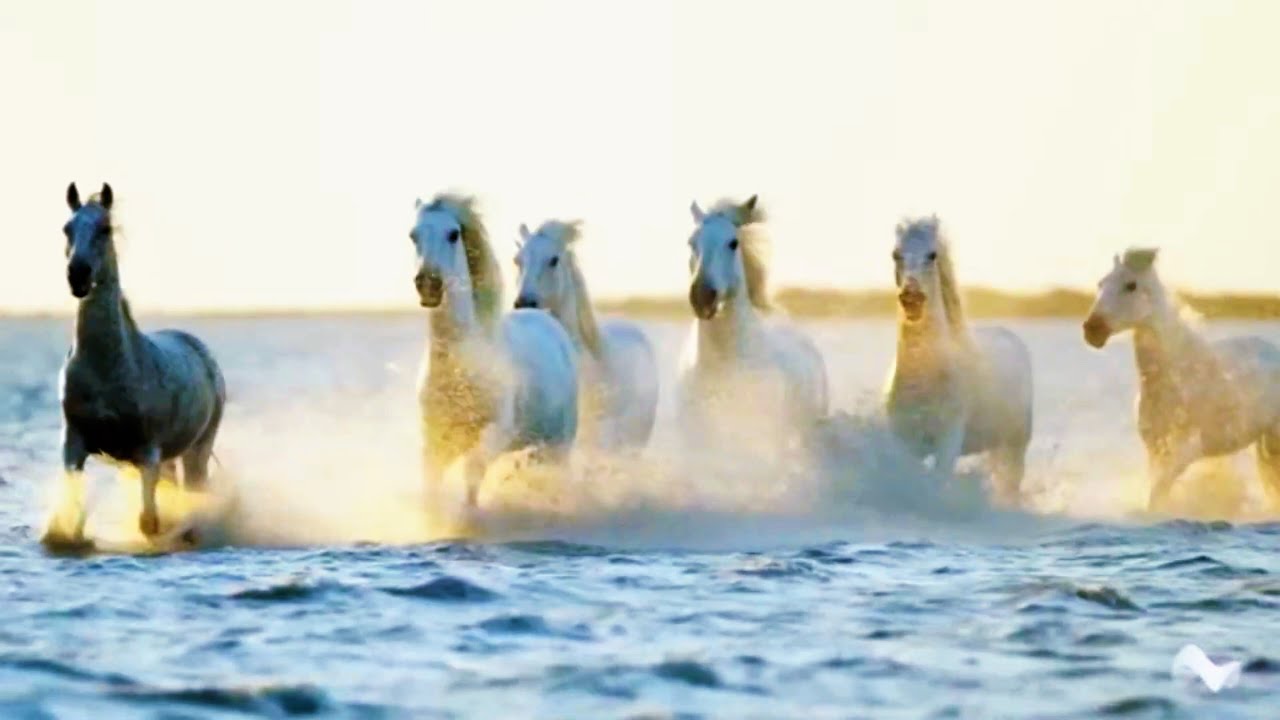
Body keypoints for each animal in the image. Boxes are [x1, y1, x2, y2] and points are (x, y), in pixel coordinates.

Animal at [48, 182, 226, 543]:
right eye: (66, 228)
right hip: (171, 458)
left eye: (105, 229)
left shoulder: (147, 453)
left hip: (198, 448)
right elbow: (72, 521)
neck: (106, 367)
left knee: (195, 491)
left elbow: (148, 523)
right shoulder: (73, 446)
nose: (78, 276)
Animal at [410, 193, 579, 510]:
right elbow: (430, 490)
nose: (428, 284)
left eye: (453, 234)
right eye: (413, 235)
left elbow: (472, 477)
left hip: (559, 444)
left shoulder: (495, 432)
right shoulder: (435, 440)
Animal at [884, 215, 1032, 506]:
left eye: (932, 255)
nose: (911, 299)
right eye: (896, 254)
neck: (922, 379)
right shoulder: (905, 441)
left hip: (1015, 444)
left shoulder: (947, 442)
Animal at [1083, 247, 1280, 510]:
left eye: (1131, 285)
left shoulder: (1186, 449)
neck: (1176, 374)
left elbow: (1157, 495)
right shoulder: (1155, 448)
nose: (1092, 330)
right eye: (1101, 283)